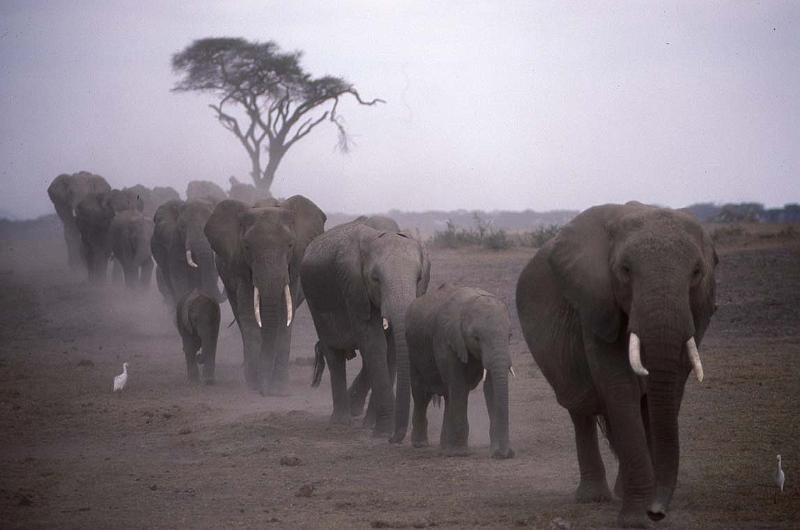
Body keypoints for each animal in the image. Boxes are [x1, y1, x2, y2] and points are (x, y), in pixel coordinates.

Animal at [205, 196, 326, 395]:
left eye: (290, 245)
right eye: (246, 247)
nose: (265, 391)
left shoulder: (292, 270)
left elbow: (285, 317)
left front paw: (279, 389)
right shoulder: (242, 269)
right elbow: (249, 316)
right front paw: (255, 386)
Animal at [301, 216, 430, 441]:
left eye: (419, 279)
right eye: (375, 279)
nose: (394, 438)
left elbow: (391, 349)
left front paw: (374, 427)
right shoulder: (353, 287)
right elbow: (374, 343)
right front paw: (382, 431)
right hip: (314, 302)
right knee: (333, 355)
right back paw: (340, 421)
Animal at [406, 283, 514, 459]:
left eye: (510, 336)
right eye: (476, 338)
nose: (506, 453)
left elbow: (490, 387)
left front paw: (497, 452)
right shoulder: (446, 340)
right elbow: (458, 384)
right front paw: (459, 453)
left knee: (448, 395)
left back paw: (444, 447)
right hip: (412, 349)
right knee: (421, 394)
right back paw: (421, 444)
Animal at [515, 202, 717, 528]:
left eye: (697, 272)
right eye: (625, 270)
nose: (657, 512)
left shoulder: (696, 313)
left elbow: (670, 390)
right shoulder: (596, 303)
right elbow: (620, 388)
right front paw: (635, 520)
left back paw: (620, 491)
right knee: (580, 410)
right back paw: (593, 497)